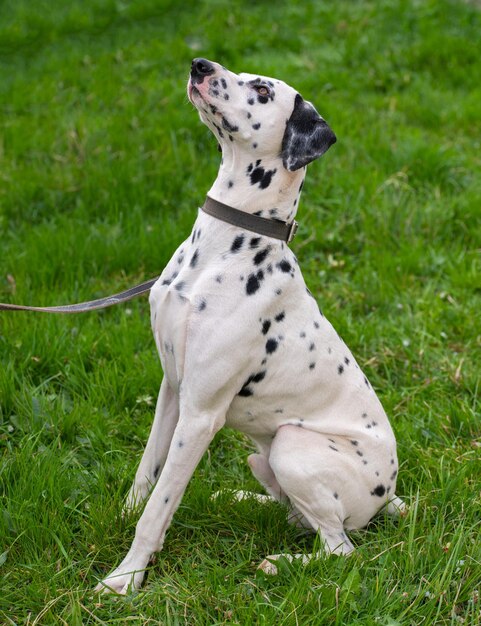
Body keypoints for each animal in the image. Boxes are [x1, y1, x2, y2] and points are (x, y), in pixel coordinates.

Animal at [95, 57, 404, 588]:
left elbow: (159, 506)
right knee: (295, 517)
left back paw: (278, 563)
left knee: (340, 549)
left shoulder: (201, 414)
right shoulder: (172, 388)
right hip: (263, 457)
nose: (199, 64)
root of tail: (390, 496)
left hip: (291, 446)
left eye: (261, 90)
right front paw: (121, 516)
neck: (221, 247)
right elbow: (147, 473)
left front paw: (126, 578)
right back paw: (237, 498)